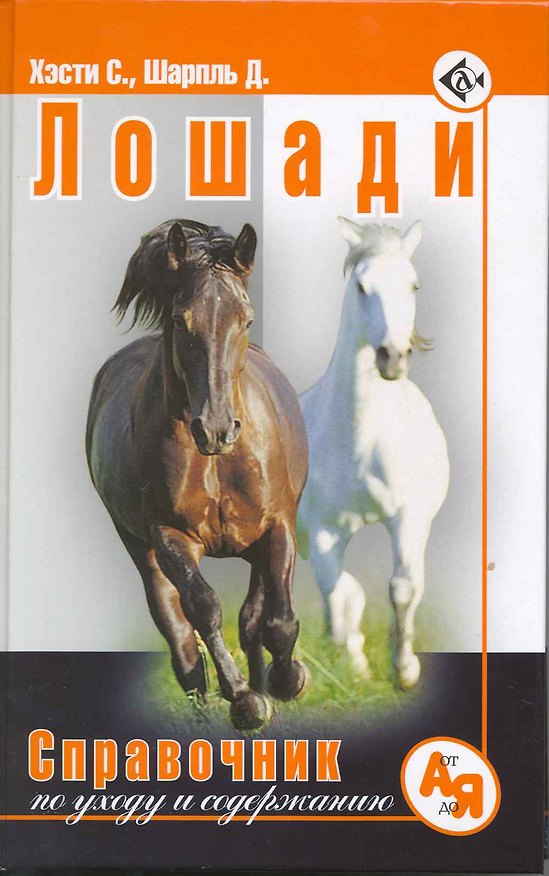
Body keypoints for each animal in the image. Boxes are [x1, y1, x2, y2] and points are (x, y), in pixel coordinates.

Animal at [86, 219, 309, 730]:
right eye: (180, 320)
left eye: (246, 319)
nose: (216, 429)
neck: (218, 463)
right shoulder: (170, 534)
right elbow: (203, 608)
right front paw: (245, 700)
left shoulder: (277, 526)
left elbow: (276, 621)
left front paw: (287, 681)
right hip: (138, 545)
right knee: (176, 628)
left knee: (252, 618)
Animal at [297, 218, 449, 690]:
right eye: (362, 287)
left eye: (414, 285)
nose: (392, 357)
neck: (363, 444)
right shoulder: (325, 532)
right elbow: (340, 599)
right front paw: (356, 670)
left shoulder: (409, 517)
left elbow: (402, 588)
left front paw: (404, 669)